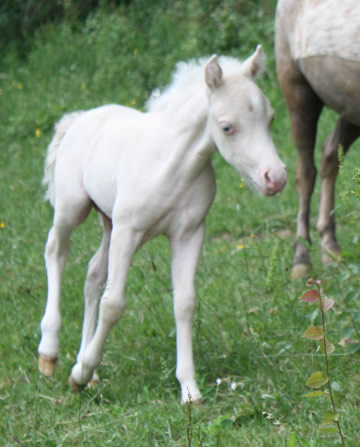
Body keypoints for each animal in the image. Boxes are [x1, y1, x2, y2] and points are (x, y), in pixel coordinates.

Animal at [38, 46, 286, 406]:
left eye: (270, 119)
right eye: (227, 127)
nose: (276, 178)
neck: (174, 164)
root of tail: (79, 119)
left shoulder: (188, 234)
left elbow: (184, 303)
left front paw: (189, 389)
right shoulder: (128, 231)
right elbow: (114, 303)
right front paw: (79, 374)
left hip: (108, 223)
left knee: (93, 274)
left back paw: (90, 371)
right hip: (75, 209)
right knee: (56, 250)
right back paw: (50, 352)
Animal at [276, 0, 360, 280]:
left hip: (350, 106)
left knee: (329, 155)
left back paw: (331, 250)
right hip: (298, 92)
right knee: (305, 173)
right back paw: (301, 259)